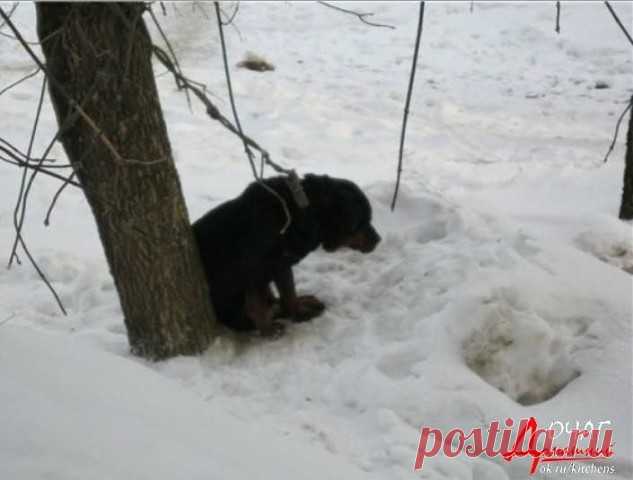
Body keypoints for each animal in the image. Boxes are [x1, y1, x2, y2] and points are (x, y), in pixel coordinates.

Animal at [193, 174, 380, 336]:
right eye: (361, 222)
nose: (378, 240)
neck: (306, 213)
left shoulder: (281, 265)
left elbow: (288, 292)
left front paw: (296, 309)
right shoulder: (258, 266)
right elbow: (260, 302)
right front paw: (271, 330)